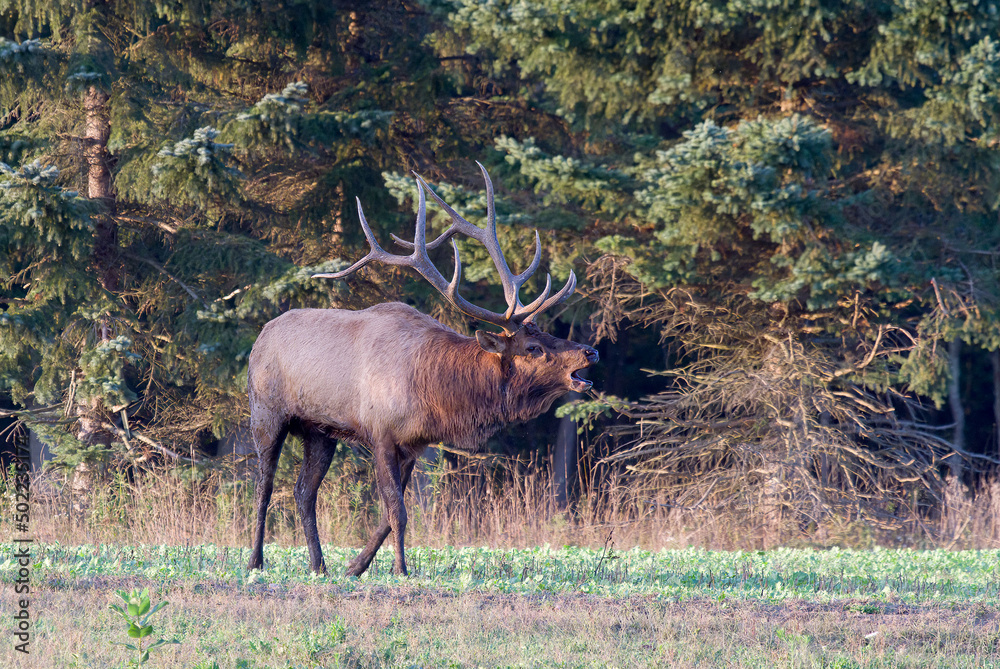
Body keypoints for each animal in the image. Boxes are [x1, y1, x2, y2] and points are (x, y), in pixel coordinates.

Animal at [246, 164, 598, 576]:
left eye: (548, 334)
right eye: (534, 348)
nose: (590, 351)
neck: (434, 390)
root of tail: (261, 336)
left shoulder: (414, 444)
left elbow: (389, 515)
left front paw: (355, 567)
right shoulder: (381, 432)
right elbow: (396, 511)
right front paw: (400, 570)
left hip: (319, 430)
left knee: (304, 492)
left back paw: (319, 566)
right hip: (266, 413)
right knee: (263, 487)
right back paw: (255, 561)